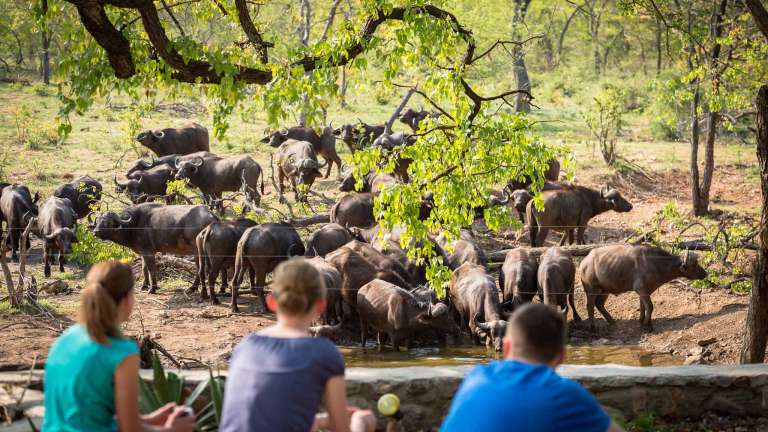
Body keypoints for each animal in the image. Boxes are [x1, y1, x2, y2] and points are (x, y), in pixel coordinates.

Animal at [579, 244, 708, 332]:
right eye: (695, 264)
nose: (705, 273)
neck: (656, 264)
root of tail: (584, 262)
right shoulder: (642, 290)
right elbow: (650, 307)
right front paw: (648, 325)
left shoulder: (643, 292)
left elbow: (643, 307)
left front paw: (641, 321)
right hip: (591, 289)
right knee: (590, 306)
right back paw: (592, 327)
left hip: (605, 290)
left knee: (599, 304)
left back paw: (612, 322)